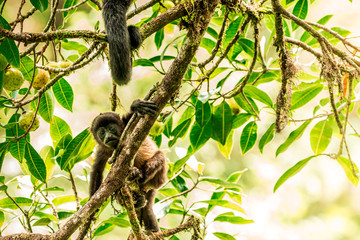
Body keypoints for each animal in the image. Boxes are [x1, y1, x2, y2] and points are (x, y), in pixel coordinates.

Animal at [88, 99, 167, 232]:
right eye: (102, 132)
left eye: (111, 128)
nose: (108, 136)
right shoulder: (102, 150)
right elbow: (97, 171)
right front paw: (91, 208)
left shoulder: (126, 125)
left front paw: (136, 106)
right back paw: (136, 200)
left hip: (159, 179)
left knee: (160, 156)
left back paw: (138, 176)